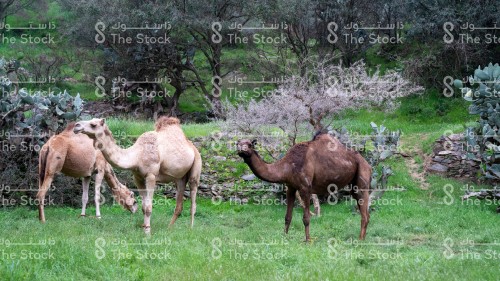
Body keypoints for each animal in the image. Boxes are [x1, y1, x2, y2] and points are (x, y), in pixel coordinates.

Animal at [73, 115, 202, 233]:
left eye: (93, 125)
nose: (76, 126)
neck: (136, 156)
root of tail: (191, 145)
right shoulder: (138, 177)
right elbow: (144, 207)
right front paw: (144, 228)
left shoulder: (151, 176)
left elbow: (149, 207)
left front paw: (148, 232)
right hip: (179, 178)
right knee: (179, 204)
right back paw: (169, 228)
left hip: (196, 167)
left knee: (193, 199)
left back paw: (191, 228)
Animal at [237, 133, 372, 241]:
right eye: (238, 143)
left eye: (249, 144)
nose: (241, 150)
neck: (287, 167)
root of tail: (368, 165)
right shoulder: (290, 187)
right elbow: (287, 216)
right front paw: (284, 237)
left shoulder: (305, 187)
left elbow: (306, 218)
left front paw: (307, 240)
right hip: (354, 186)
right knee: (365, 212)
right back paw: (363, 237)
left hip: (362, 178)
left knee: (364, 214)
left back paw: (360, 240)